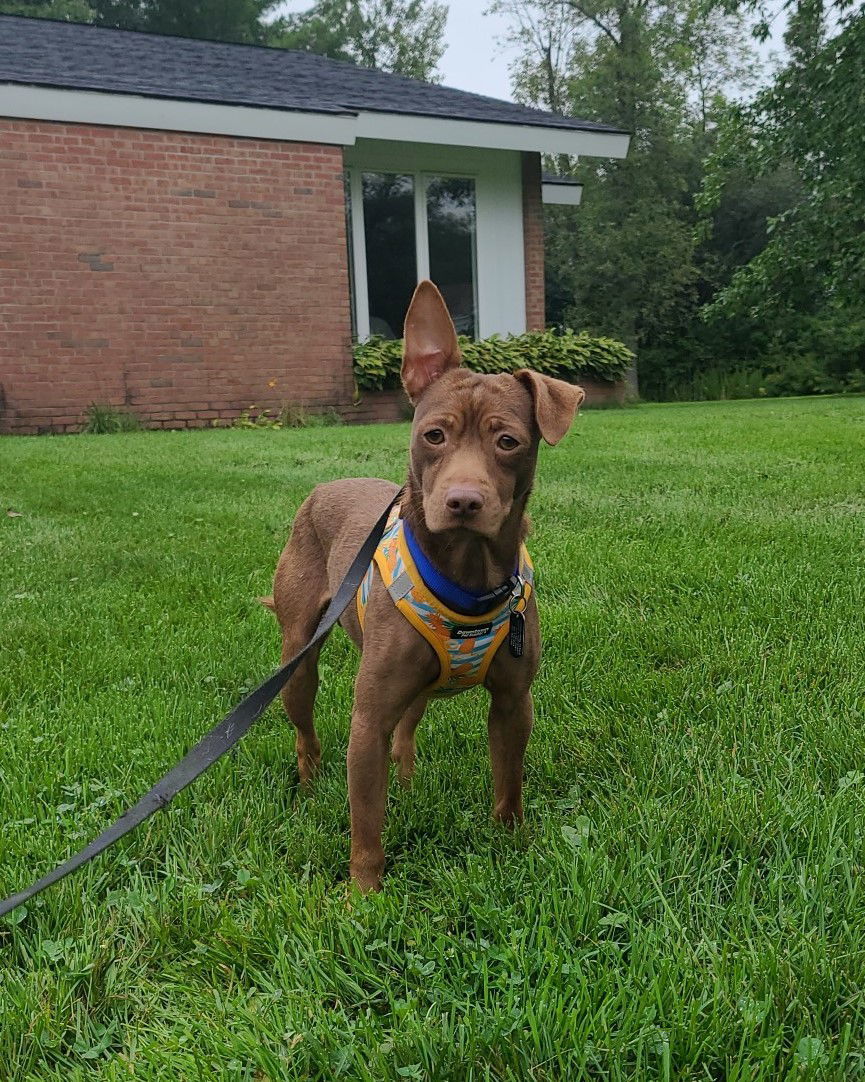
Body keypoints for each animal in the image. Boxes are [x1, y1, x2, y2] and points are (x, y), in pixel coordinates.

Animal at [265, 283, 580, 891]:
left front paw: (511, 848)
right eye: (434, 435)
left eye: (509, 441)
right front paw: (363, 893)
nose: (463, 501)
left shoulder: (514, 703)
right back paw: (310, 787)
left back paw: (408, 781)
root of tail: (324, 487)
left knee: (407, 728)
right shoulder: (366, 721)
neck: (466, 576)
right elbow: (366, 819)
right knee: (307, 732)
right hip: (299, 658)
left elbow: (509, 785)